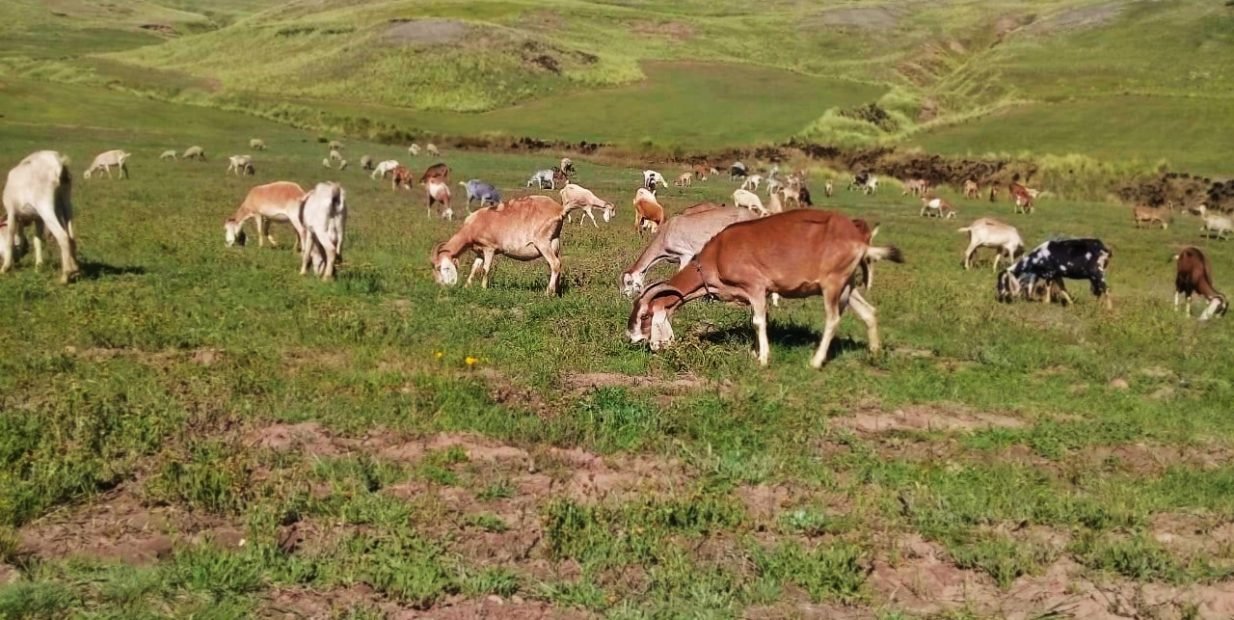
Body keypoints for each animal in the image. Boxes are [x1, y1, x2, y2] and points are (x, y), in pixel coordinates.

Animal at [1, 151, 79, 283]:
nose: (19, 257)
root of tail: (58, 162)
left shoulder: (12, 211)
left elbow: (10, 237)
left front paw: (5, 268)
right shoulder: (37, 218)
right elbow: (37, 240)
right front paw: (38, 266)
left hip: (45, 206)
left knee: (63, 236)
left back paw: (65, 276)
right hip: (65, 202)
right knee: (71, 237)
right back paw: (75, 270)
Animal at [431, 195, 579, 295]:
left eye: (442, 267)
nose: (441, 286)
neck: (471, 228)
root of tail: (559, 210)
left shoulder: (489, 248)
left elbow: (485, 269)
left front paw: (483, 288)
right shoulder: (480, 251)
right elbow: (474, 268)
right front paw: (467, 287)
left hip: (542, 242)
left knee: (555, 264)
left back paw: (548, 293)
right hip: (554, 241)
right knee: (557, 264)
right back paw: (556, 292)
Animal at [627, 209, 903, 368]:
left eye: (645, 316)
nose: (633, 338)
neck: (716, 255)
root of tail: (858, 234)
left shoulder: (756, 287)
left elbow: (759, 322)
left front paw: (762, 358)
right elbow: (756, 320)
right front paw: (754, 351)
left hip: (833, 283)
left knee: (833, 319)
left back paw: (815, 361)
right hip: (847, 284)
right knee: (868, 311)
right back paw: (874, 355)